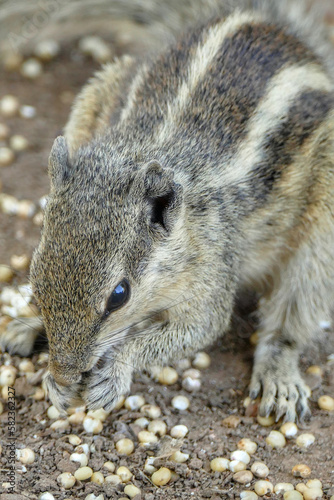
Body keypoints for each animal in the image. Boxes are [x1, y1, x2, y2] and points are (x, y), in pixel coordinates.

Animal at [0, 0, 334, 422]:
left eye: (119, 295)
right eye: (35, 272)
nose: (65, 372)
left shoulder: (211, 273)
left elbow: (194, 329)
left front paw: (116, 370)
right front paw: (50, 372)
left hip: (323, 224)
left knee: (293, 316)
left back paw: (280, 375)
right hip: (97, 93)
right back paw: (26, 327)